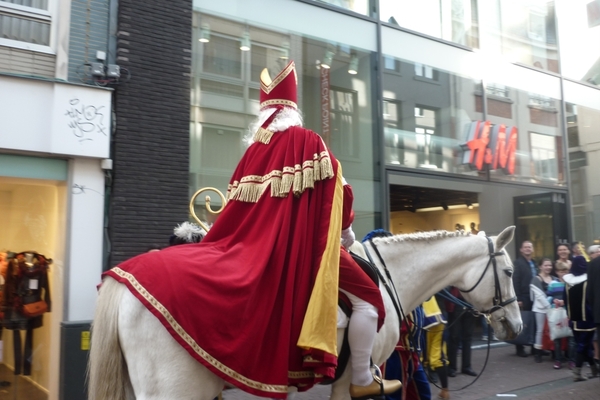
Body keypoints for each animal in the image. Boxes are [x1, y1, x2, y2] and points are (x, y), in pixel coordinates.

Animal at [86, 227, 524, 398]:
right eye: (508, 272)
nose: (516, 326)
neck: (389, 277)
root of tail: (125, 280)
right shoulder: (350, 379)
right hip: (176, 389)